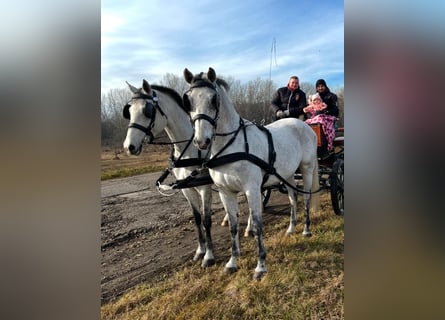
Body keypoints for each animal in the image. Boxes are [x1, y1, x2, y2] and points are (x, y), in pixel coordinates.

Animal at [122, 80, 216, 268]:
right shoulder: (187, 189)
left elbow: (206, 220)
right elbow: (197, 218)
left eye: (147, 110)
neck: (189, 149)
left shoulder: (204, 188)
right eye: (129, 111)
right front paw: (200, 251)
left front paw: (209, 256)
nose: (129, 147)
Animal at [184, 68, 320, 280]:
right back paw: (291, 228)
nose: (201, 141)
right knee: (293, 198)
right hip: (288, 174)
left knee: (305, 198)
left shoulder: (252, 190)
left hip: (306, 169)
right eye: (188, 100)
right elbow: (232, 226)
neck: (231, 146)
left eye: (214, 99)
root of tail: (304, 125)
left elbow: (257, 225)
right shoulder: (225, 192)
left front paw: (260, 266)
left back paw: (306, 230)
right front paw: (232, 262)